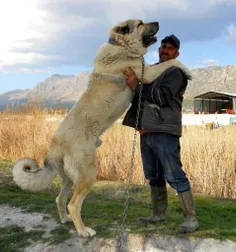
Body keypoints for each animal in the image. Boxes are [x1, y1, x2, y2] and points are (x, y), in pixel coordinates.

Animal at [12, 19, 192, 236]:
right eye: (141, 23)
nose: (157, 22)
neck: (121, 45)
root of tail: (55, 145)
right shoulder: (146, 73)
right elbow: (169, 63)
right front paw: (187, 70)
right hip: (88, 173)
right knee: (73, 204)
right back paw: (83, 231)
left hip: (71, 177)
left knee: (60, 198)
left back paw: (65, 220)